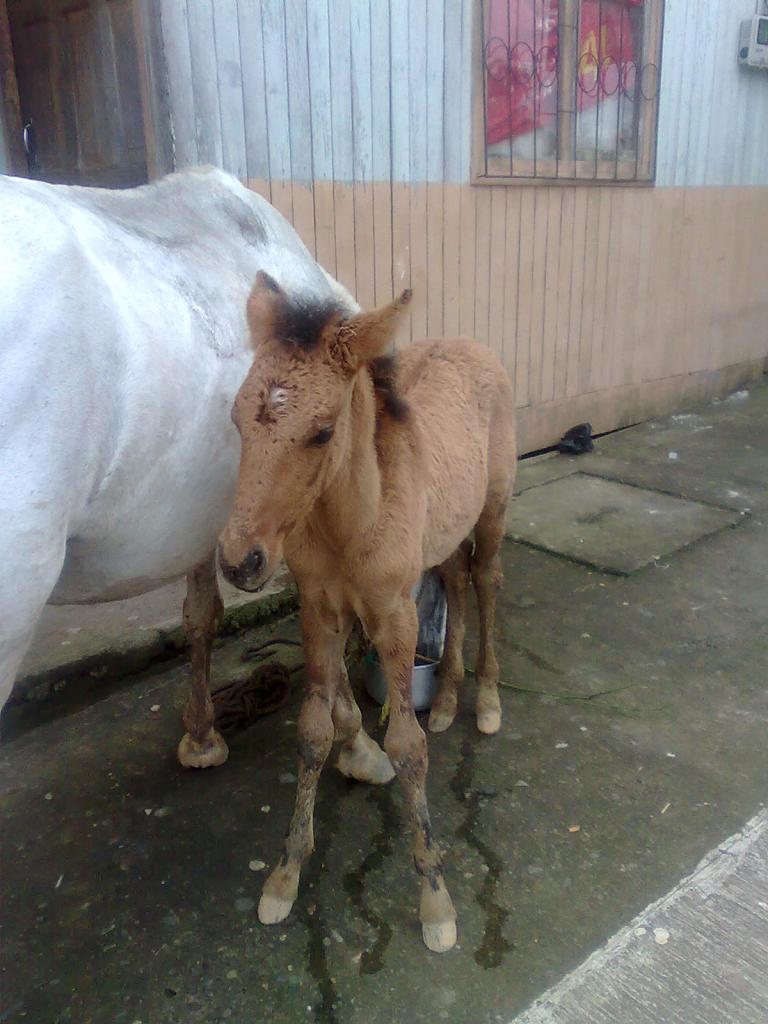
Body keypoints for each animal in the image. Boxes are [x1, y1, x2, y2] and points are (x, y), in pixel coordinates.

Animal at [219, 274, 518, 950]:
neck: (348, 522)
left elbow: (406, 745)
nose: (240, 561)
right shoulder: (319, 611)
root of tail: (476, 347)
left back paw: (486, 701)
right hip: (443, 535)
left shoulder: (394, 616)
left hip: (493, 511)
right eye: (237, 419)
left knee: (486, 582)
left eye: (323, 431)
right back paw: (450, 698)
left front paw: (435, 899)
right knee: (455, 581)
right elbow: (313, 732)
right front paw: (284, 875)